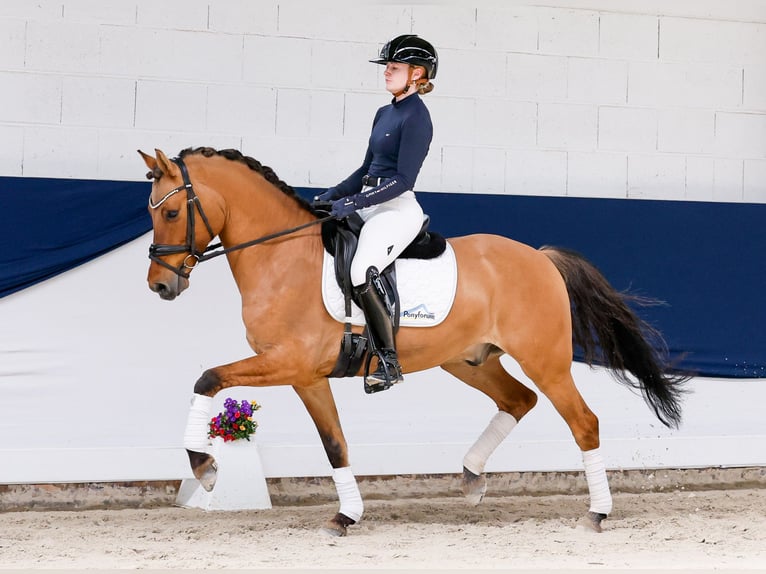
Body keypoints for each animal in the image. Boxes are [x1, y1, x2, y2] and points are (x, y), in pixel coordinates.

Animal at [139, 146, 688, 535]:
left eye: (171, 214)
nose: (161, 286)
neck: (283, 256)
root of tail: (540, 256)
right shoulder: (306, 376)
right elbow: (334, 444)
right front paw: (346, 516)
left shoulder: (286, 362)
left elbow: (207, 378)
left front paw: (205, 468)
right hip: (468, 361)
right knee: (519, 400)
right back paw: (471, 478)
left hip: (545, 360)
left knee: (582, 422)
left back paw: (597, 513)